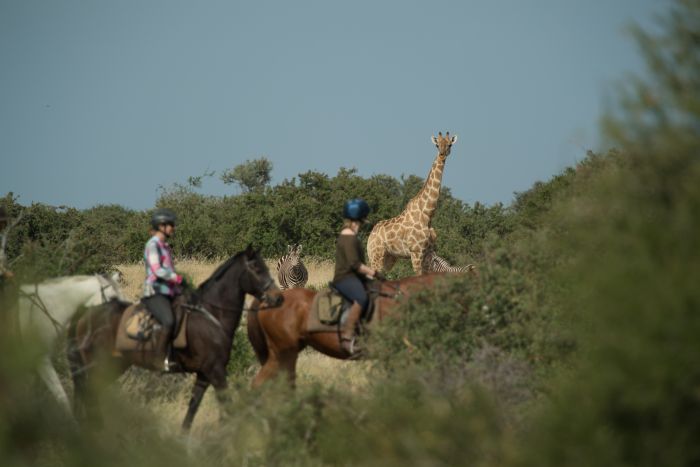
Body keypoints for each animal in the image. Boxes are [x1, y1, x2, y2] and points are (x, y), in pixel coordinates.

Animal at [65, 247, 284, 434]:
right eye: (257, 268)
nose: (278, 298)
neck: (211, 315)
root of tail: (85, 315)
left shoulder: (205, 375)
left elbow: (193, 408)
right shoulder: (216, 371)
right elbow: (227, 406)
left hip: (115, 365)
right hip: (101, 364)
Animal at [366, 130, 460, 276]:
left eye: (450, 144)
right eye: (437, 145)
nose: (442, 154)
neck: (427, 214)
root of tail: (370, 236)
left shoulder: (428, 253)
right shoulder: (416, 252)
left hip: (388, 258)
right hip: (376, 256)